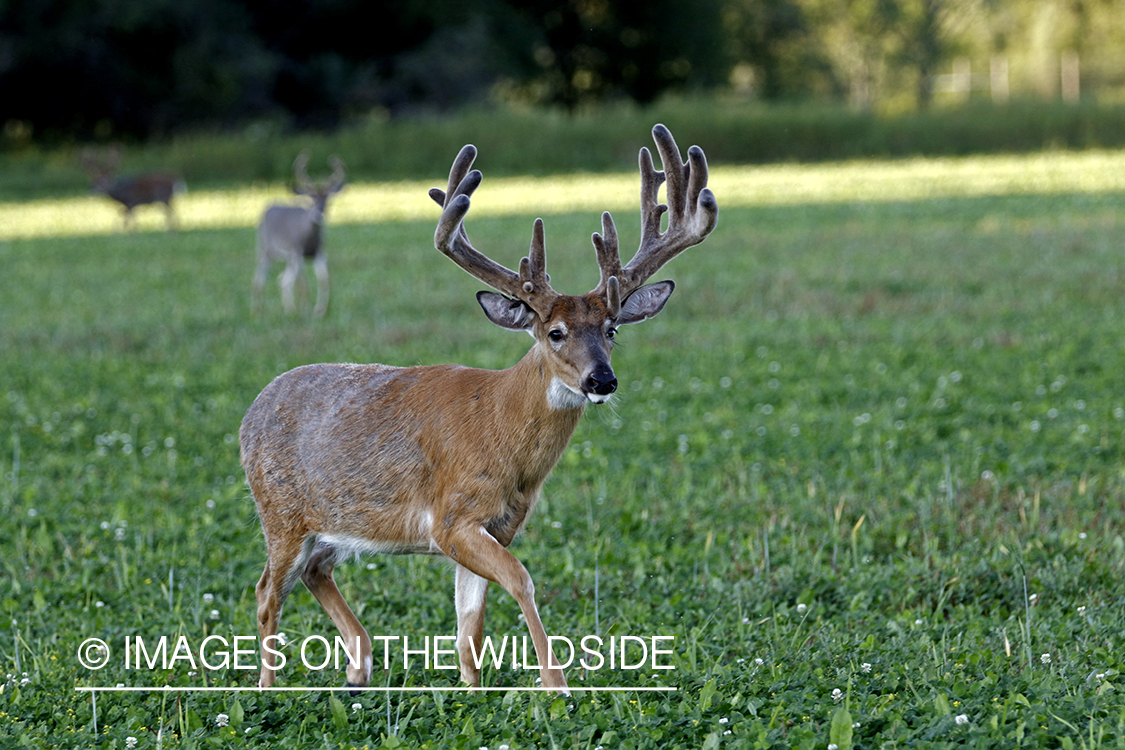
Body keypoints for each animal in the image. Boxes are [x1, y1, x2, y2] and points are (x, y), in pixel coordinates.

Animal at [253, 152, 344, 317]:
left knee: (283, 279)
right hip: (264, 249)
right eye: (311, 197)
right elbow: (303, 284)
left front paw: (321, 311)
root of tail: (268, 207)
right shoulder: (297, 251)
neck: (308, 239)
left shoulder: (319, 252)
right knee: (259, 279)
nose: (319, 215)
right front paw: (306, 310)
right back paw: (257, 313)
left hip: (287, 258)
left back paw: (288, 309)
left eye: (328, 198)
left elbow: (325, 280)